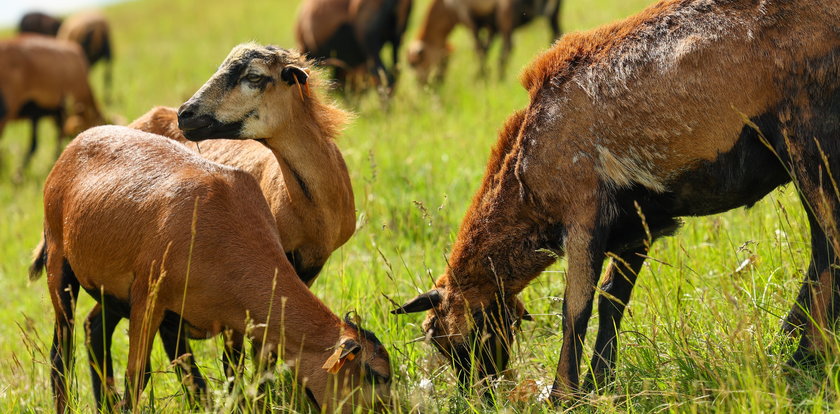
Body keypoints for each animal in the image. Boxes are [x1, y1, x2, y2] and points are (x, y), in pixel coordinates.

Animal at [40, 124, 394, 412]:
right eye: (376, 375)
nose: (389, 410)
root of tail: (76, 143)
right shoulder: (149, 299)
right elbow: (139, 376)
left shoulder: (231, 321)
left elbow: (230, 376)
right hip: (59, 266)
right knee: (61, 354)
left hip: (109, 292)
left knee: (94, 330)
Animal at [394, 0, 840, 402]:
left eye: (440, 335)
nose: (479, 397)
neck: (524, 178)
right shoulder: (638, 223)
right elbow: (613, 300)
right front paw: (601, 384)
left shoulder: (583, 211)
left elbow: (575, 309)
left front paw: (563, 395)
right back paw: (799, 349)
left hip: (809, 136)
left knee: (829, 246)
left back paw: (802, 357)